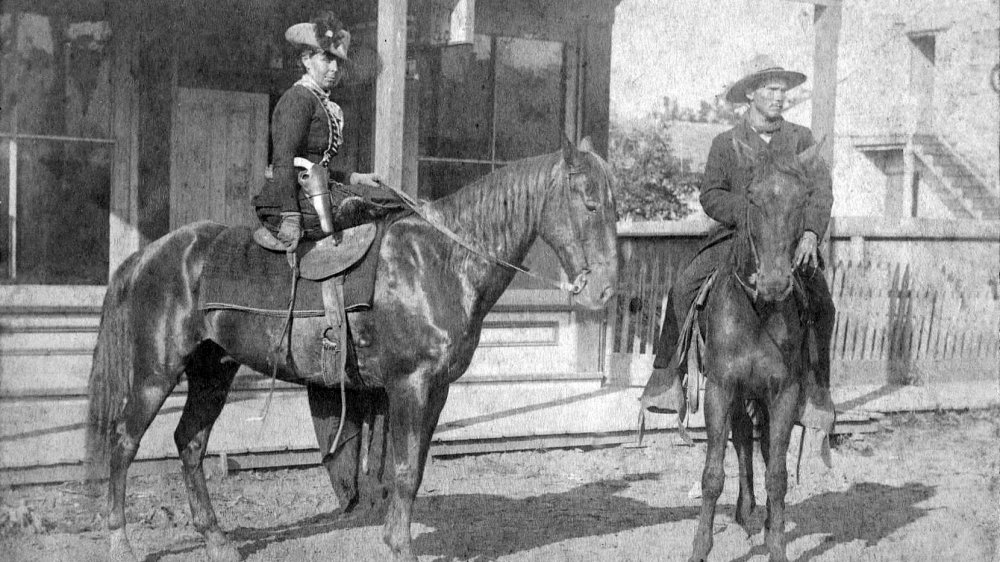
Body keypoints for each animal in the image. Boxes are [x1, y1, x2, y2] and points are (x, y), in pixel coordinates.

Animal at [86, 138, 616, 556]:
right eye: (589, 204)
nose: (606, 290)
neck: (441, 260)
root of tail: (150, 254)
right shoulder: (410, 386)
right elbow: (403, 469)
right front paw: (400, 547)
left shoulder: (437, 391)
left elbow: (413, 469)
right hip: (155, 373)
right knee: (124, 441)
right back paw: (119, 541)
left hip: (213, 370)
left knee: (190, 442)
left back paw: (217, 541)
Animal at [692, 141, 824, 562]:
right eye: (751, 196)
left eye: (804, 198)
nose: (775, 283)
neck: (756, 311)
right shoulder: (721, 388)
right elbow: (712, 474)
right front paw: (700, 547)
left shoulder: (783, 393)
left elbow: (777, 474)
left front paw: (777, 544)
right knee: (742, 442)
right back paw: (745, 510)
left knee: (761, 447)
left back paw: (760, 520)